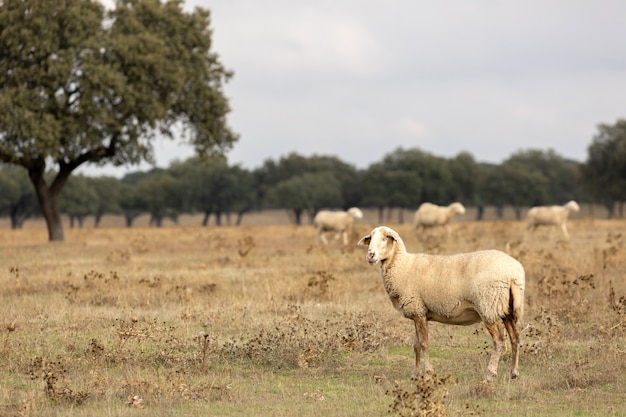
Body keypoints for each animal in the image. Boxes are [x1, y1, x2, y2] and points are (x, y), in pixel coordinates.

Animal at [356, 226, 520, 382]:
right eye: (370, 238)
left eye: (386, 237)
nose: (370, 255)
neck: (402, 265)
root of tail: (514, 273)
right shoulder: (417, 312)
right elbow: (416, 345)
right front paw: (415, 374)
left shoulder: (418, 310)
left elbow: (424, 344)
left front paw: (428, 374)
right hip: (506, 308)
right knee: (515, 338)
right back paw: (513, 373)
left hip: (488, 306)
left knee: (499, 340)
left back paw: (490, 374)